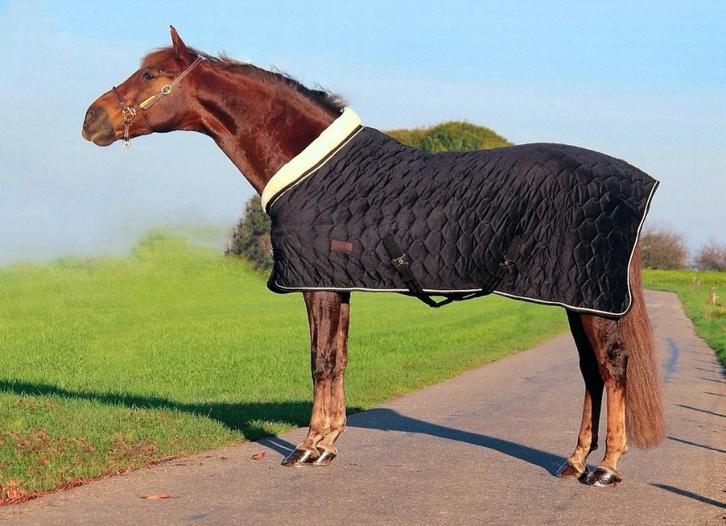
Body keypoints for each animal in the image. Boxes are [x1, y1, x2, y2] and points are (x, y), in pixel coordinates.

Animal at [82, 26, 665, 486]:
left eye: (151, 74)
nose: (91, 119)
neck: (313, 166)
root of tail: (634, 181)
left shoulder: (315, 284)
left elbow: (319, 360)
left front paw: (305, 449)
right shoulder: (336, 283)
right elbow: (337, 359)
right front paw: (327, 444)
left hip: (588, 299)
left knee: (612, 367)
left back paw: (606, 467)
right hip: (576, 298)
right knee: (591, 372)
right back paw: (574, 462)